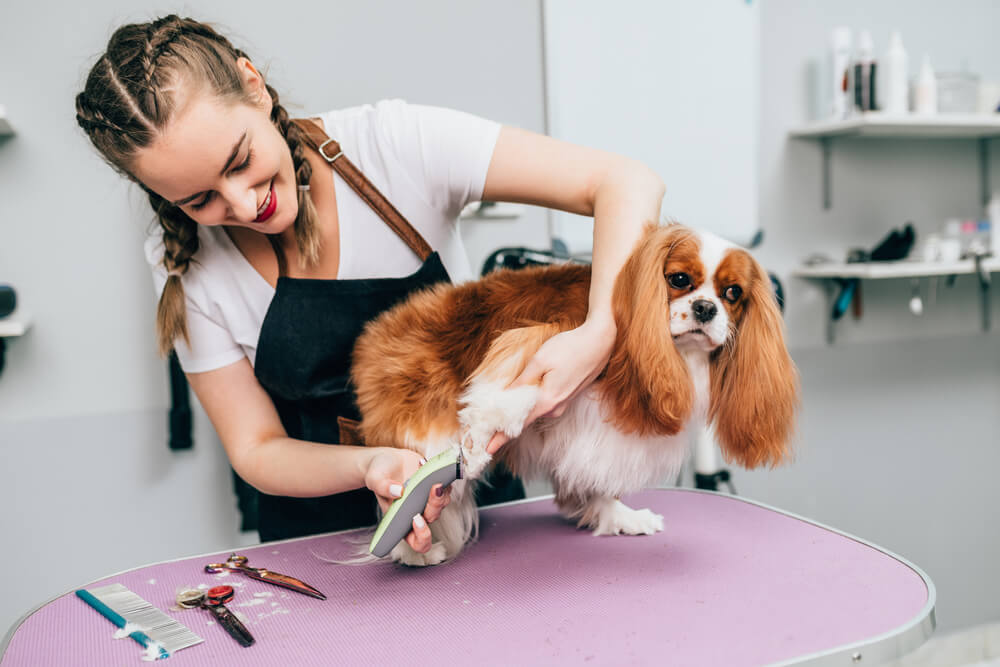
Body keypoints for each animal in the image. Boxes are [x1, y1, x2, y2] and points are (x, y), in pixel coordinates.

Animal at [350, 223, 796, 564]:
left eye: (733, 293)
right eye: (680, 280)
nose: (705, 308)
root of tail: (379, 333)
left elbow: (593, 475)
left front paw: (616, 515)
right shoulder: (555, 334)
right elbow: (515, 381)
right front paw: (495, 424)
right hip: (423, 422)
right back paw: (415, 552)